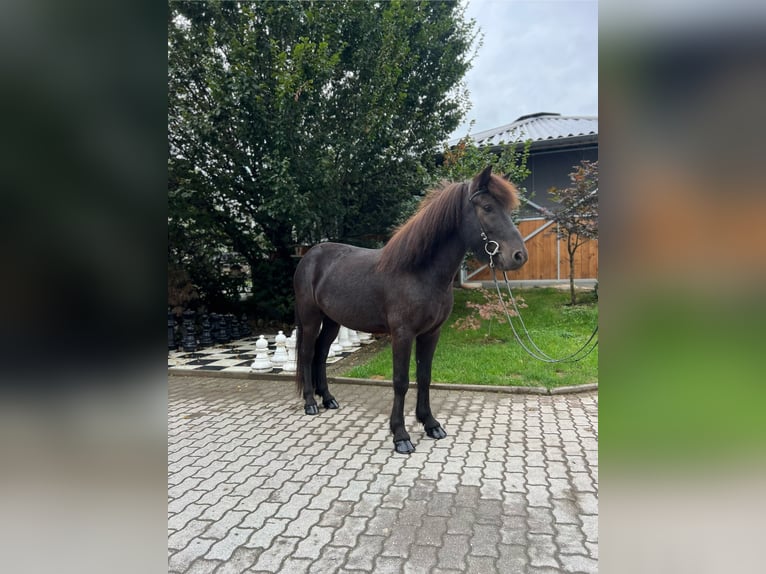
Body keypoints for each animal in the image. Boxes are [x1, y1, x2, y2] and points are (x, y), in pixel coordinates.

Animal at [294, 165, 528, 454]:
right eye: (487, 207)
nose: (518, 256)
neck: (419, 272)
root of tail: (309, 256)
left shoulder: (431, 333)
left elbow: (424, 377)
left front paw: (431, 424)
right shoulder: (402, 334)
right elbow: (401, 381)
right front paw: (401, 436)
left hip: (332, 321)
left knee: (321, 354)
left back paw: (327, 399)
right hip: (310, 318)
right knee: (307, 354)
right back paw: (310, 403)